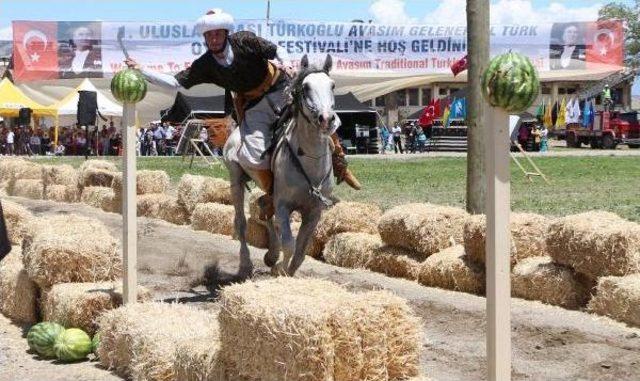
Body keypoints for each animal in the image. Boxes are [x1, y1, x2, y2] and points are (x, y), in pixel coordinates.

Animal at [222, 54, 338, 276]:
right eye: (306, 87)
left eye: (332, 85)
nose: (326, 119)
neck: (310, 163)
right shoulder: (284, 205)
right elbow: (290, 245)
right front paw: (280, 270)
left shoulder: (314, 212)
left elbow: (301, 250)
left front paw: (284, 270)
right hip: (236, 179)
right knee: (242, 223)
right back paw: (245, 264)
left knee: (263, 209)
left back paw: (271, 255)